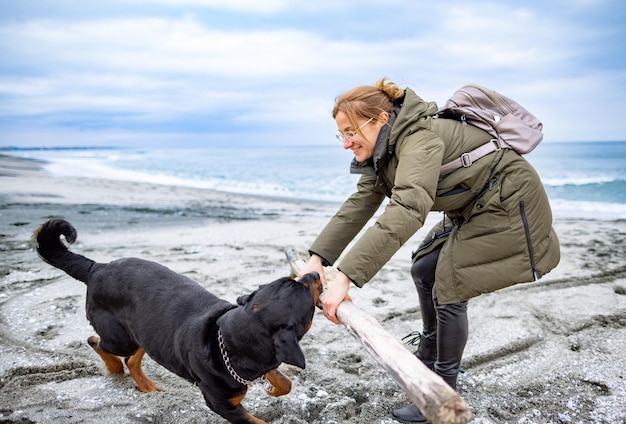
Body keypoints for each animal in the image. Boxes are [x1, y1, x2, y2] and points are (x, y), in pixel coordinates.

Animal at [33, 219, 322, 424]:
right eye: (304, 290)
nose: (316, 273)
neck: (226, 341)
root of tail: (97, 268)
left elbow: (285, 381)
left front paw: (274, 389)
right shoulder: (222, 405)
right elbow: (256, 420)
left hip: (144, 332)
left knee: (132, 358)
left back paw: (146, 385)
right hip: (121, 337)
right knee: (97, 341)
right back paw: (114, 368)